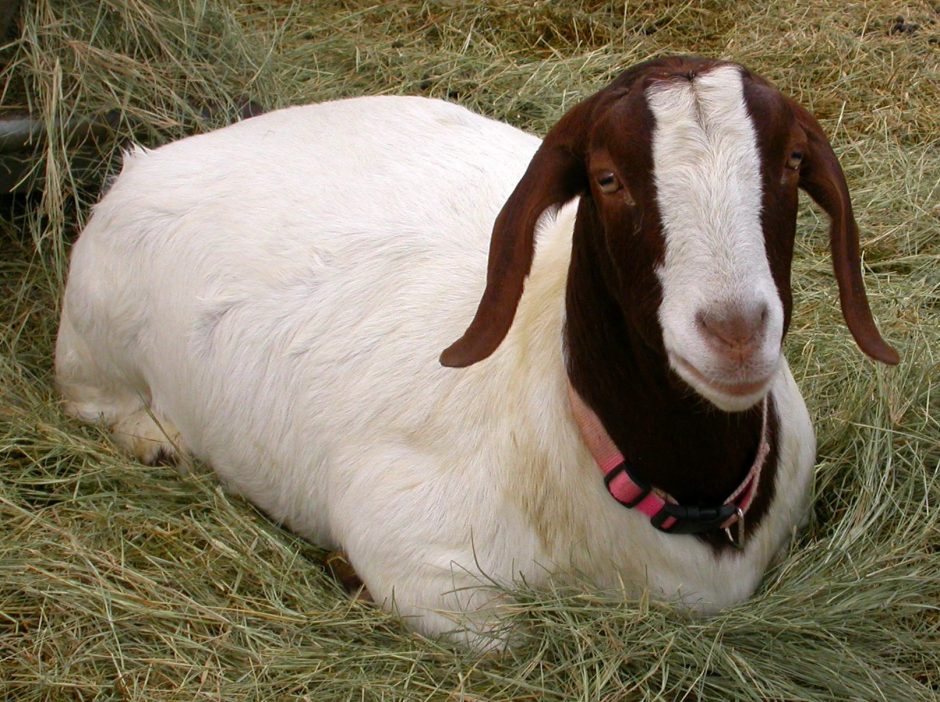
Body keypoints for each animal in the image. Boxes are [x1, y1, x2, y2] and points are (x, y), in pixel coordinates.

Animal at [56, 56, 898, 647]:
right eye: (607, 177)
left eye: (791, 163)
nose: (734, 331)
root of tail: (150, 158)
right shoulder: (416, 553)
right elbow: (505, 634)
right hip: (93, 339)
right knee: (94, 399)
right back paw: (154, 439)